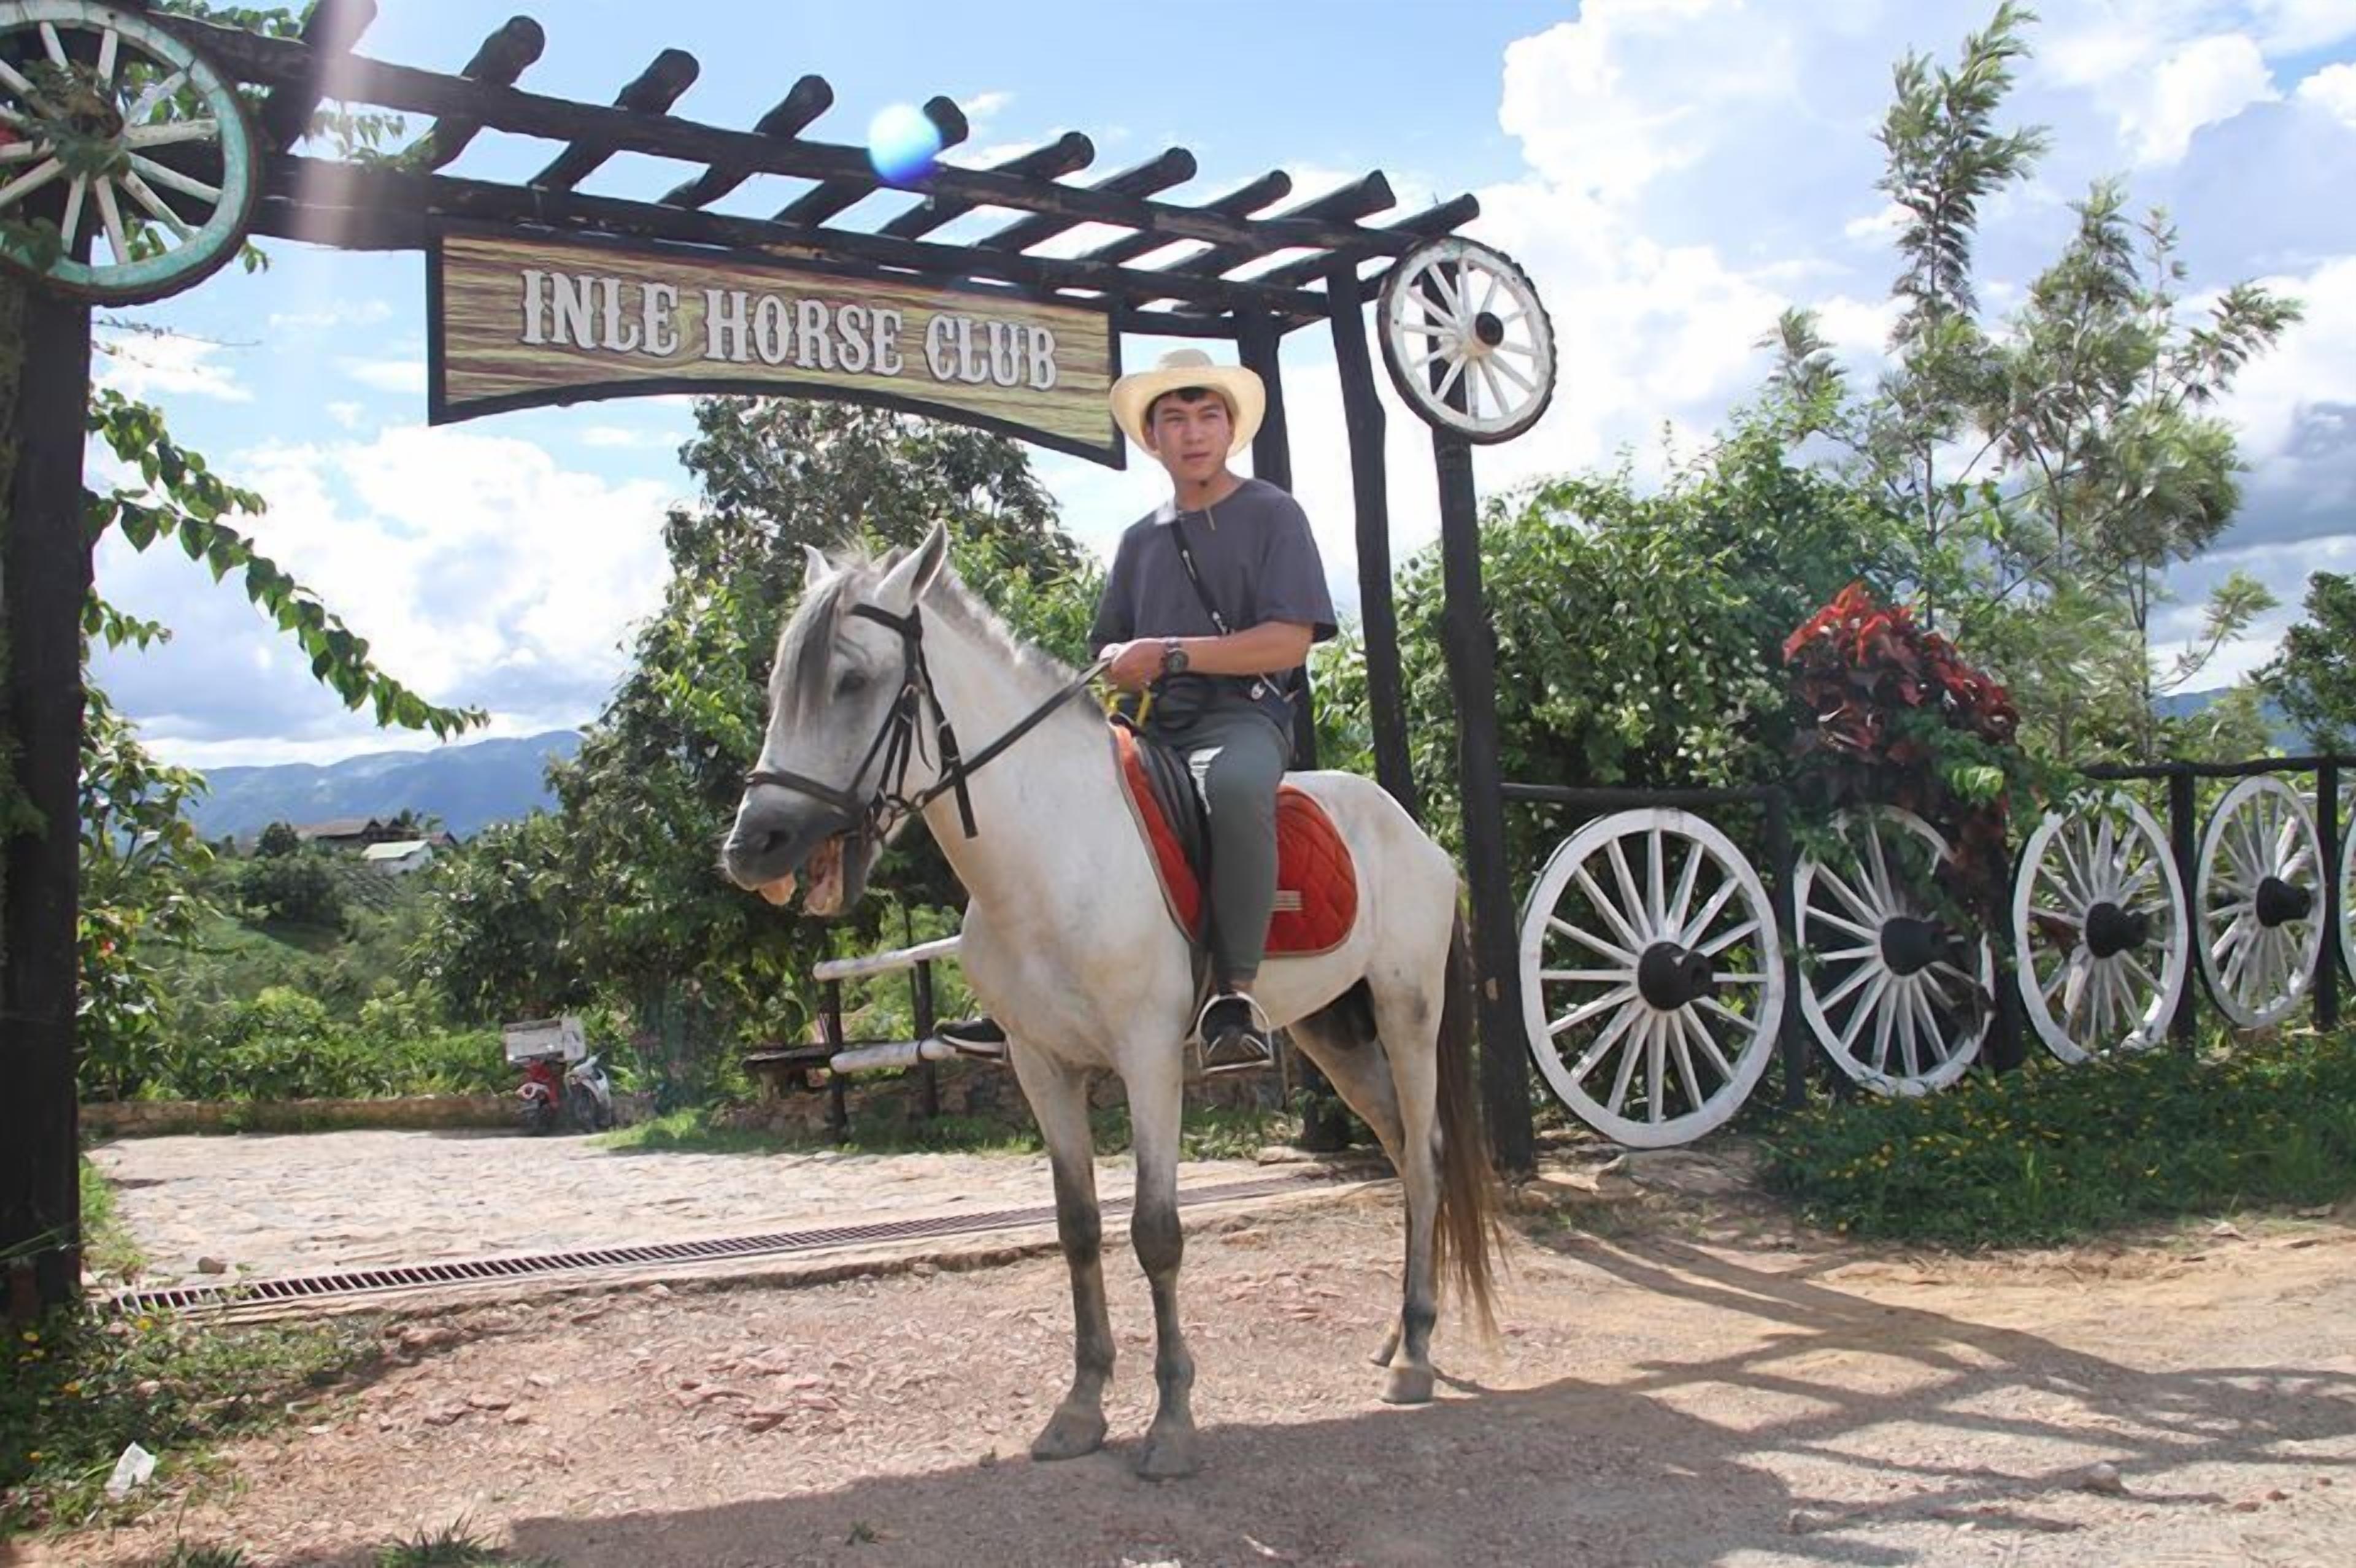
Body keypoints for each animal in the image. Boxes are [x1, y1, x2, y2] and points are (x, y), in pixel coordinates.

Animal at [721, 524, 1499, 1480]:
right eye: (780, 685)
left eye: (853, 680)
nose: (753, 845)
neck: (1055, 851)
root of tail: (1415, 835)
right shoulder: (1041, 1066)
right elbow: (1080, 1228)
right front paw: (1081, 1408)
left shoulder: (1149, 1059)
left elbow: (1156, 1231)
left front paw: (1172, 1423)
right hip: (1334, 1034)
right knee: (1396, 1149)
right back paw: (1395, 1334)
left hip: (1406, 1013)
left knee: (1424, 1159)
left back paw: (1417, 1354)